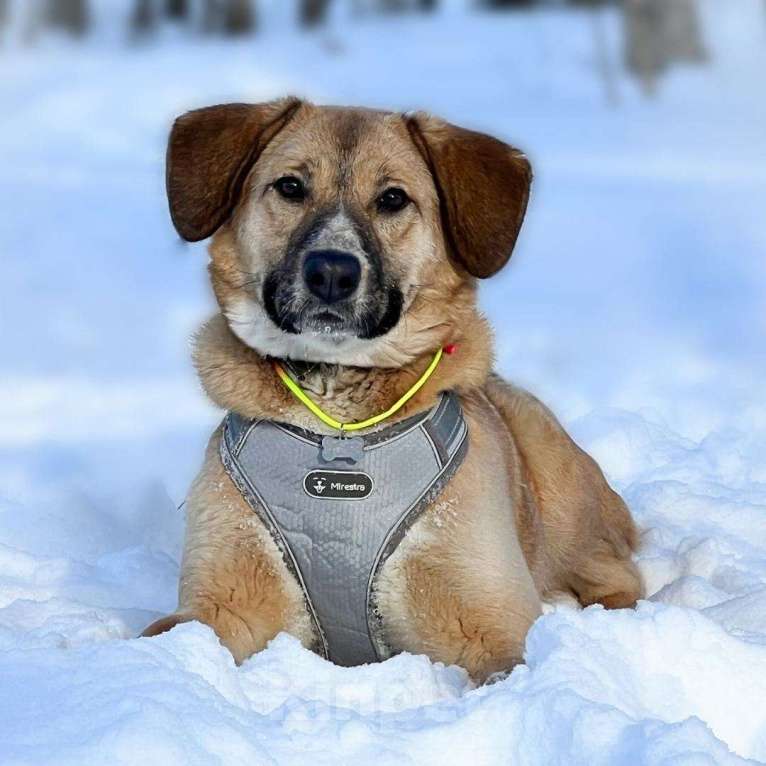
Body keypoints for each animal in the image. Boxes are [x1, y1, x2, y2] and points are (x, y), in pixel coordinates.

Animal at [142, 97, 640, 684]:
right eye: (290, 187)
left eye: (393, 199)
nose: (331, 272)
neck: (338, 422)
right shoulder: (222, 600)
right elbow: (167, 635)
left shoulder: (488, 614)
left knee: (616, 575)